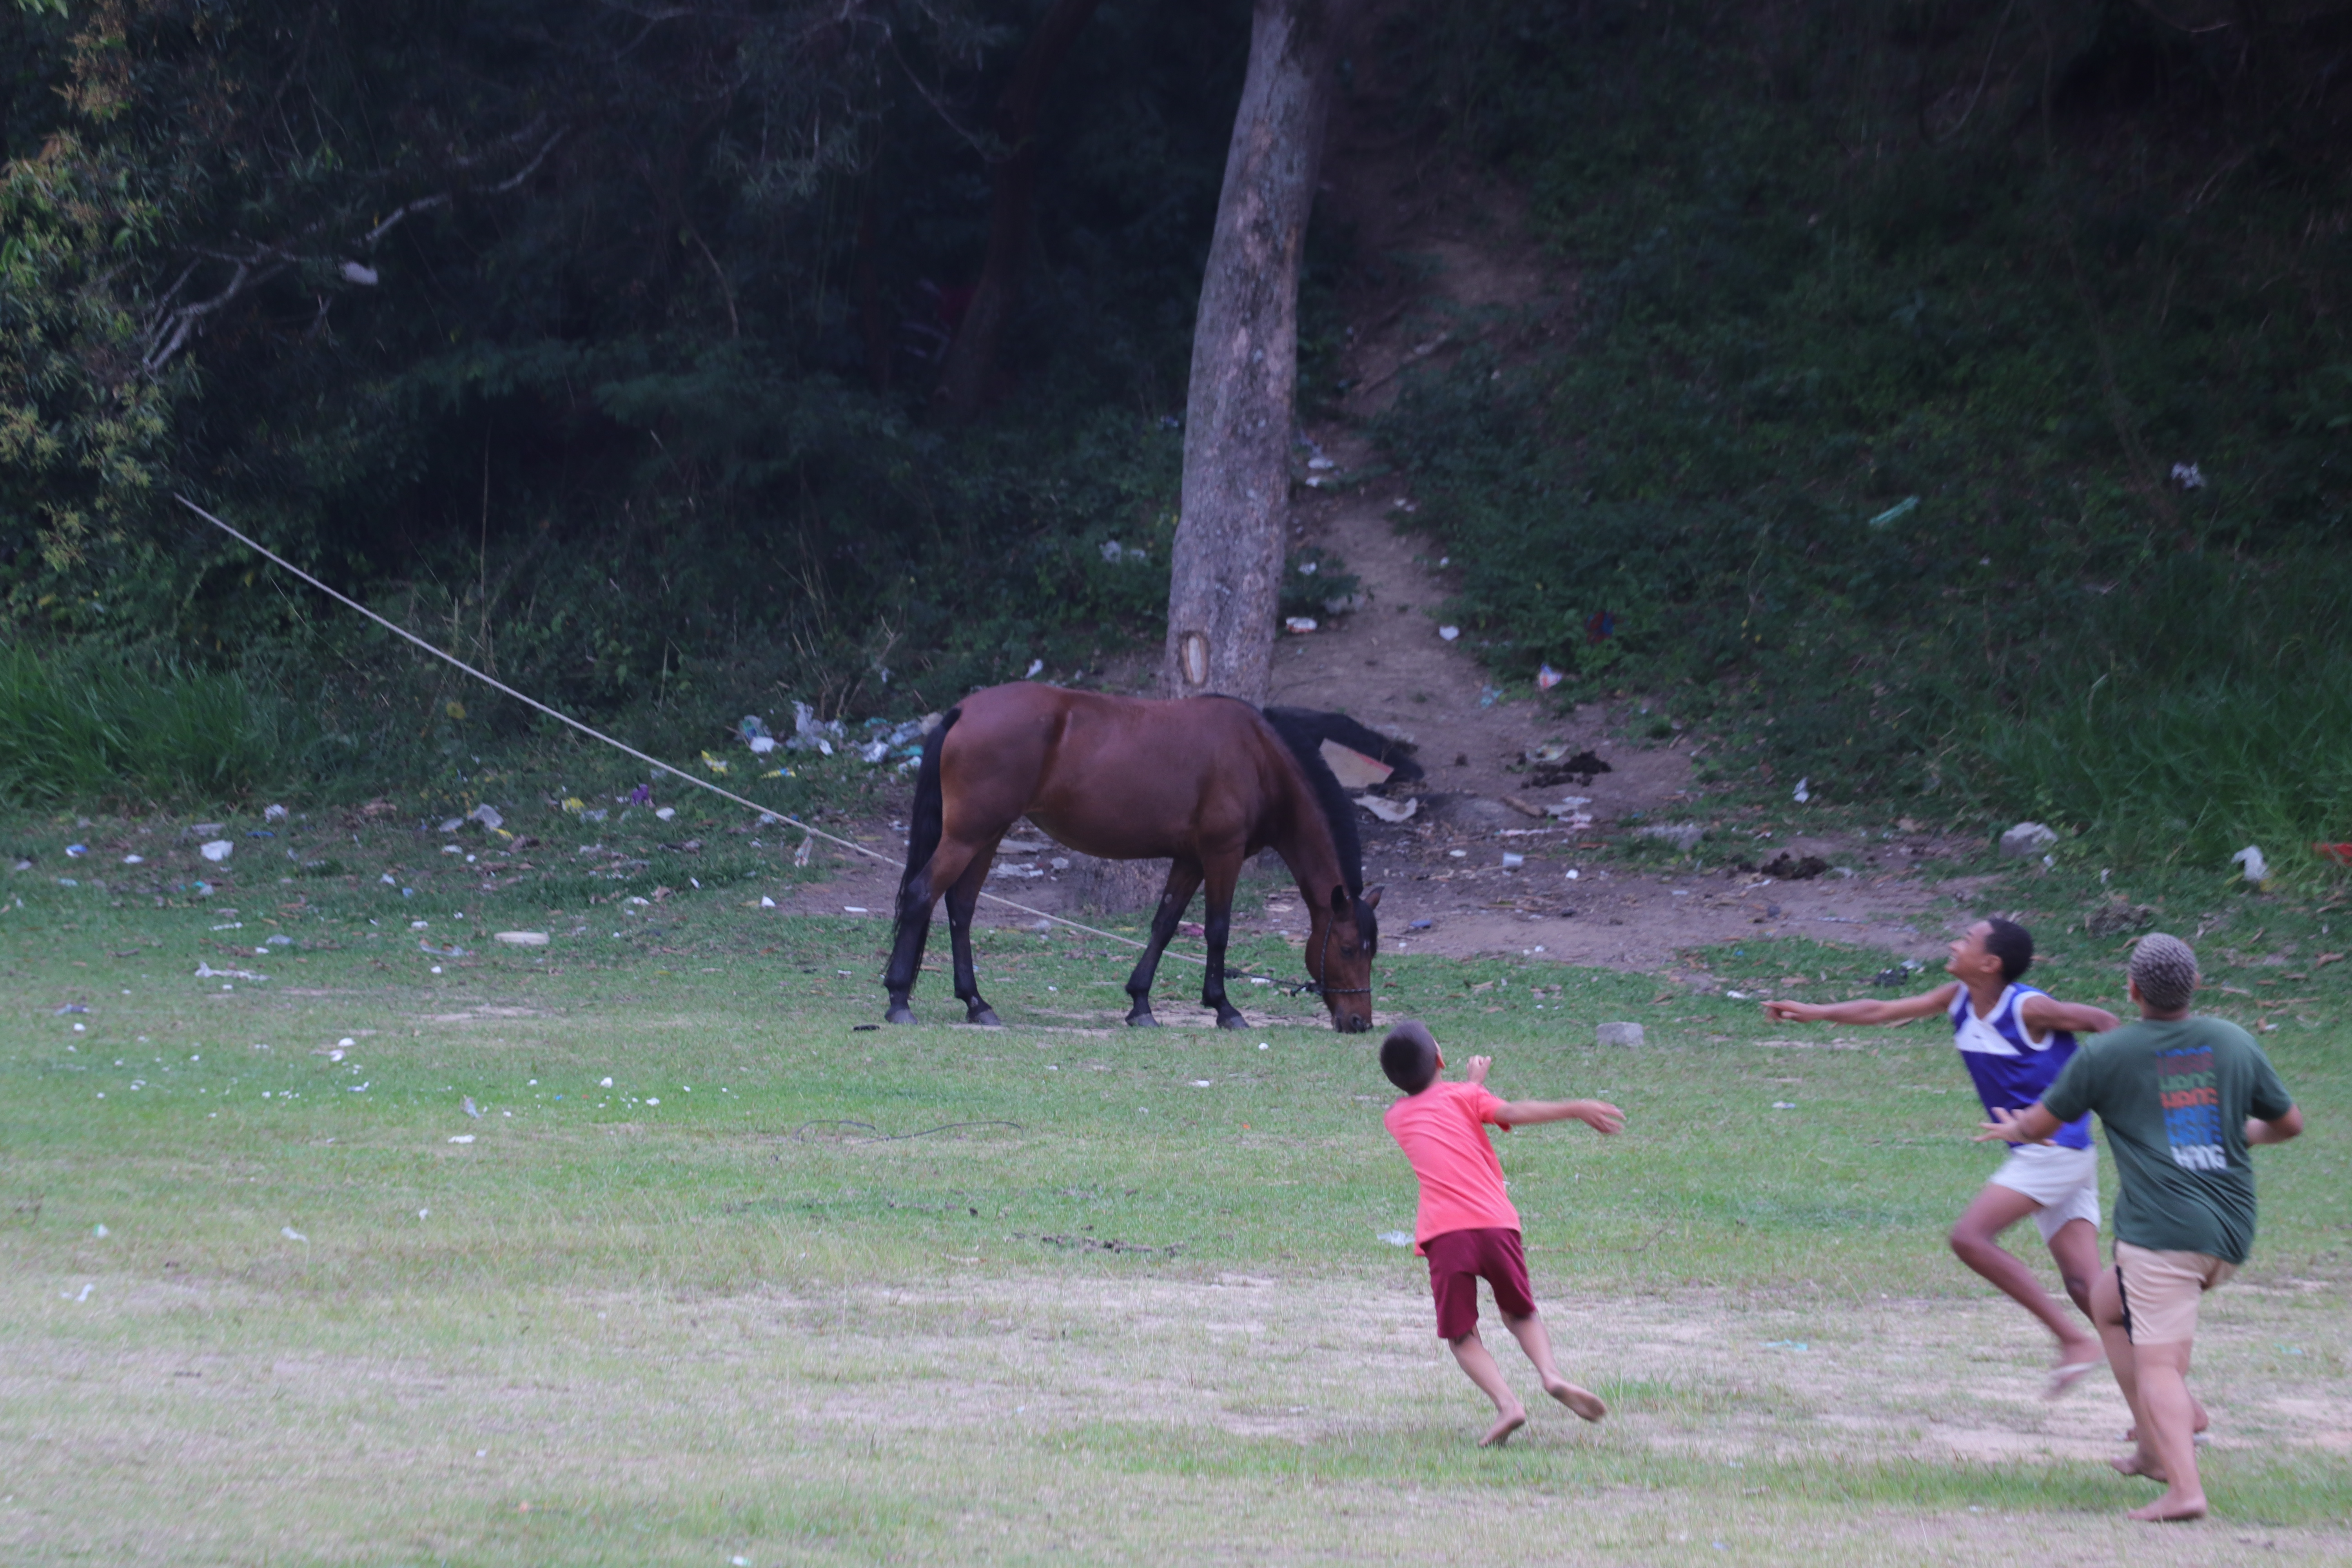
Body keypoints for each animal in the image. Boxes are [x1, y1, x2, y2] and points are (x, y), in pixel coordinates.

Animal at [882, 682, 1400, 1032]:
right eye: (1348, 949)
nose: (1360, 1021)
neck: (1258, 757)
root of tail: (964, 709)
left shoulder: (1190, 860)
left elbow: (1164, 925)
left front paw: (1140, 1004)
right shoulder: (1223, 854)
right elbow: (1217, 931)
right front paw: (1224, 1008)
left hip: (986, 836)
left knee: (961, 908)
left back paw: (976, 1002)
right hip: (969, 835)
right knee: (923, 894)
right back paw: (899, 1000)